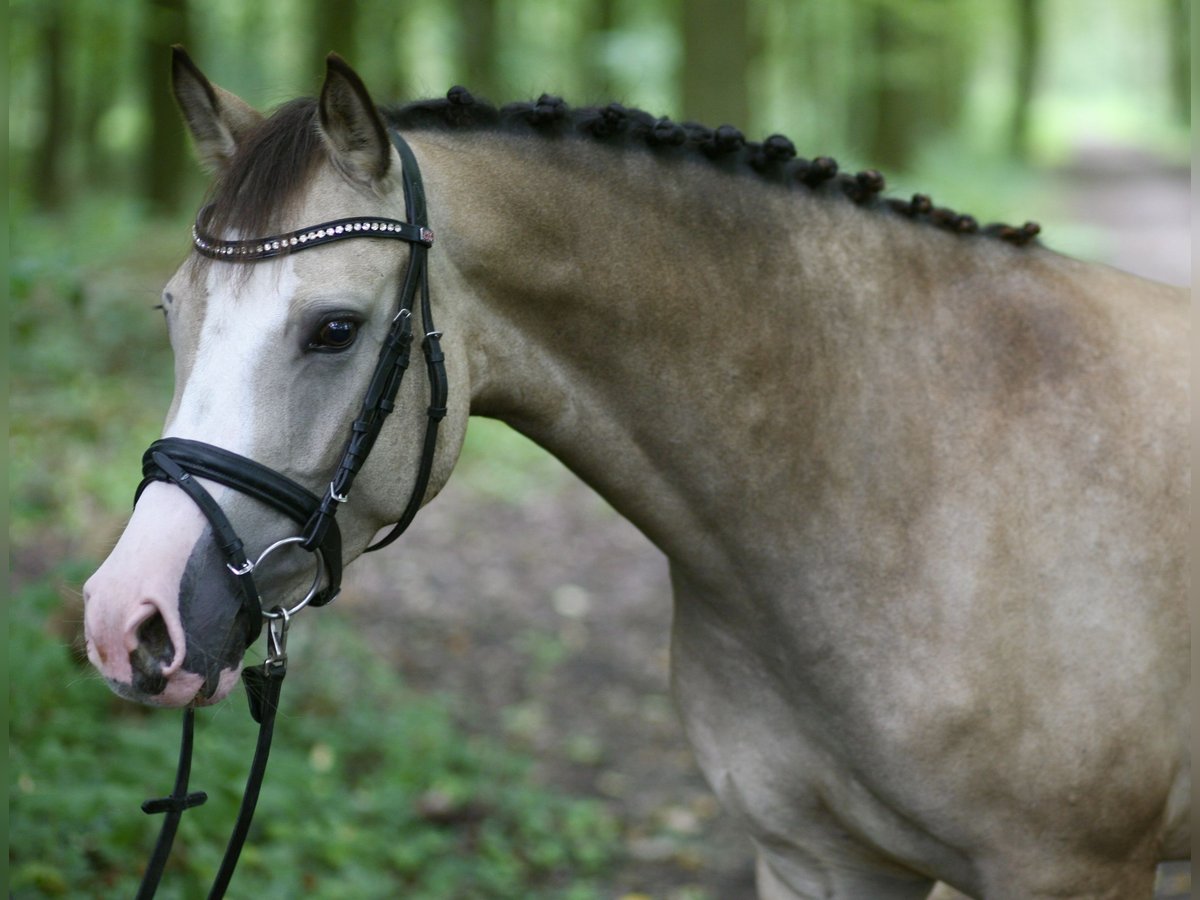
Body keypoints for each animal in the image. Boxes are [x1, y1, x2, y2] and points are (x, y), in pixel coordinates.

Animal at [84, 49, 1190, 900]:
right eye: (172, 310)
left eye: (334, 329)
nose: (126, 618)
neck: (895, 475)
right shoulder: (817, 859)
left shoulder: (1068, 869)